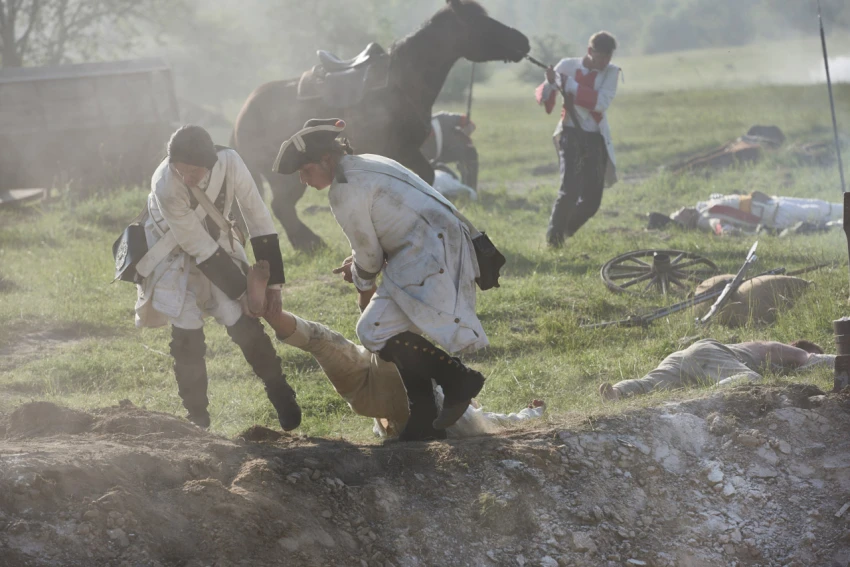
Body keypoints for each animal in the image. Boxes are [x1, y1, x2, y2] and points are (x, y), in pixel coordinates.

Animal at [229, 0, 528, 251]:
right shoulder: (402, 149)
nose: (522, 41)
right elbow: (424, 175)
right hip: (289, 176)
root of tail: (243, 113)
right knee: (281, 206)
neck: (403, 80)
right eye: (480, 22)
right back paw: (310, 243)